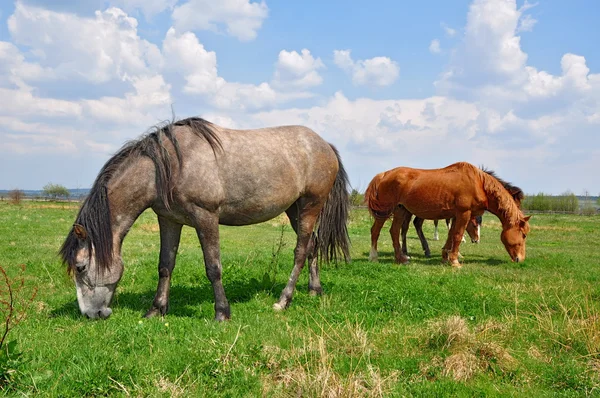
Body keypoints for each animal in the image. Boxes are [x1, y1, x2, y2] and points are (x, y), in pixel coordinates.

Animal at [59, 118, 352, 320]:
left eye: (80, 267)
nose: (91, 314)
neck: (168, 167)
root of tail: (324, 145)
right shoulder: (169, 220)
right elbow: (165, 265)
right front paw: (156, 310)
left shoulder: (206, 217)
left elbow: (213, 267)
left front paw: (222, 313)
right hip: (294, 210)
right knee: (313, 246)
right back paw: (314, 289)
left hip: (310, 206)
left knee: (301, 251)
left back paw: (283, 301)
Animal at [366, 162, 528, 268]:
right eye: (524, 235)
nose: (520, 259)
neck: (479, 183)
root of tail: (384, 174)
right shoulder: (464, 213)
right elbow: (457, 235)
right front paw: (455, 261)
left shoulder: (456, 215)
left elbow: (451, 235)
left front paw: (445, 256)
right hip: (385, 211)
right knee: (375, 231)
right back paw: (374, 257)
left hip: (401, 210)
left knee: (394, 231)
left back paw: (401, 258)